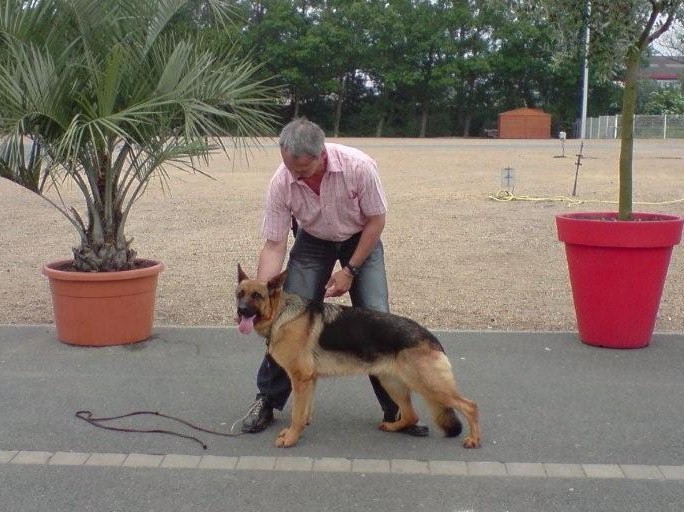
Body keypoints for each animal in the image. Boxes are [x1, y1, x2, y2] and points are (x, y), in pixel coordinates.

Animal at [235, 264, 480, 448]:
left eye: (257, 296)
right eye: (240, 294)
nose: (241, 311)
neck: (281, 314)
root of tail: (430, 336)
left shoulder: (301, 379)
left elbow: (297, 413)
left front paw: (291, 438)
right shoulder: (309, 380)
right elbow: (304, 413)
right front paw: (297, 431)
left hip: (428, 384)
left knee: (470, 405)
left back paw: (474, 439)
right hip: (392, 382)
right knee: (411, 415)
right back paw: (392, 426)